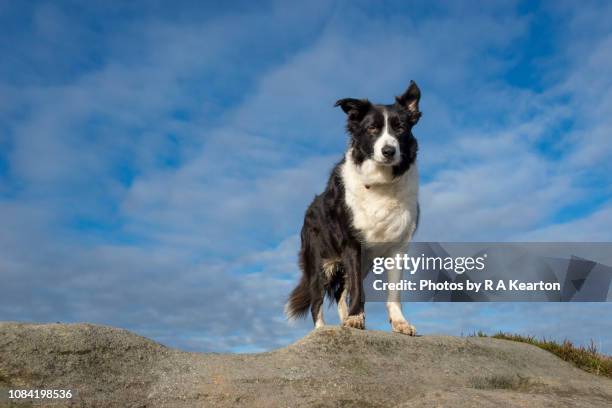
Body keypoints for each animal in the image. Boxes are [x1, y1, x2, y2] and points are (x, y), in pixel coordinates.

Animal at [286, 80, 420, 334]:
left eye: (400, 128)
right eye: (372, 129)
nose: (389, 151)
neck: (380, 183)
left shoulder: (399, 246)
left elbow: (394, 292)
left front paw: (399, 322)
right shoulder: (351, 243)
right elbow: (358, 289)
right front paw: (357, 316)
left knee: (340, 293)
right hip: (318, 264)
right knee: (317, 301)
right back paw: (322, 329)